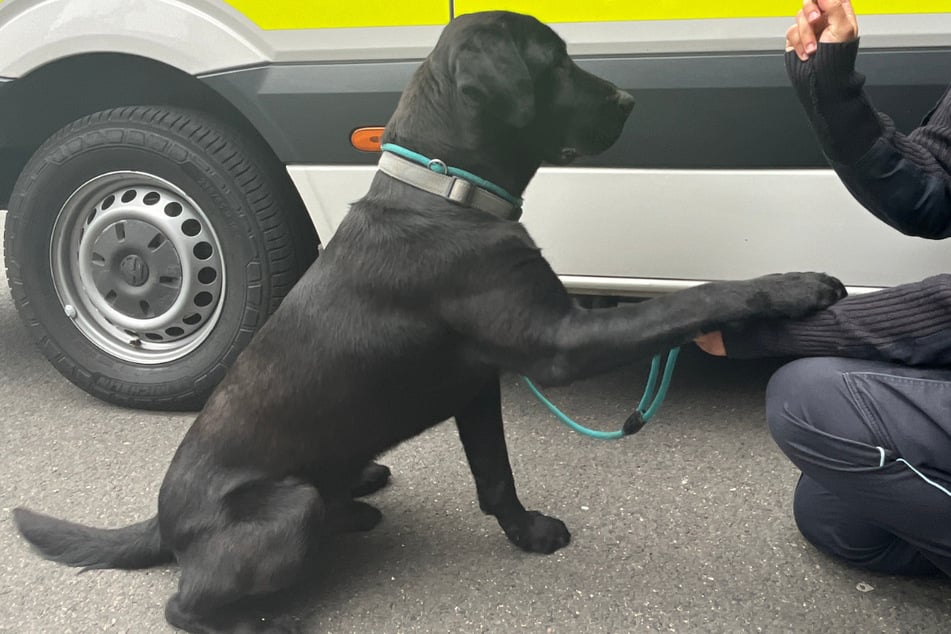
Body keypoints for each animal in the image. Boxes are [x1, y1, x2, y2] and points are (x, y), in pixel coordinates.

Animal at [13, 11, 848, 632]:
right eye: (555, 61)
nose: (628, 101)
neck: (447, 194)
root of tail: (163, 517)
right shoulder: (559, 343)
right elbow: (693, 296)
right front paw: (791, 285)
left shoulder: (479, 384)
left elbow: (496, 477)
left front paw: (526, 534)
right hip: (280, 512)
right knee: (183, 604)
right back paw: (262, 616)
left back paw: (358, 497)